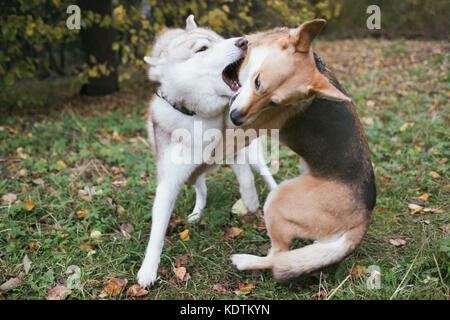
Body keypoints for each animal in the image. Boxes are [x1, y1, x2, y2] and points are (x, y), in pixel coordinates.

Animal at [137, 15, 278, 288]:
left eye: (219, 39)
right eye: (202, 49)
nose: (244, 41)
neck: (201, 117)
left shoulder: (235, 149)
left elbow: (246, 178)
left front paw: (251, 202)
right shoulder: (169, 181)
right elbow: (157, 230)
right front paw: (148, 268)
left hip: (253, 155)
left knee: (264, 173)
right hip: (192, 175)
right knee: (201, 188)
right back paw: (196, 213)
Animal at [229, 19, 376, 280]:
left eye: (274, 103)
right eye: (257, 82)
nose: (235, 118)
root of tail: (365, 215)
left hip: (277, 200)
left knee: (278, 256)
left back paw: (246, 261)